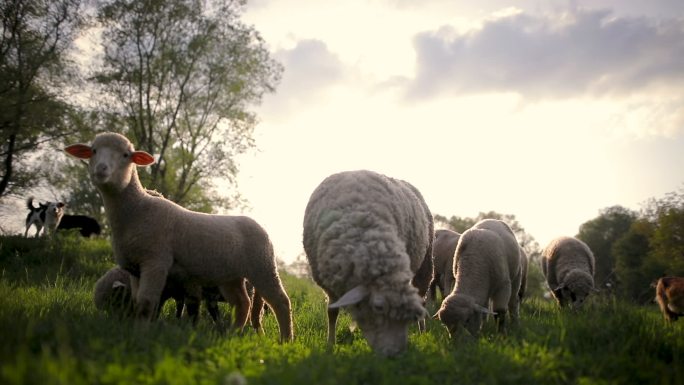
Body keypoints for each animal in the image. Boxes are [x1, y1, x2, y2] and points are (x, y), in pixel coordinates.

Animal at [67, 133, 294, 342]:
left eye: (126, 155)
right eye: (93, 151)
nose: (101, 170)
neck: (136, 209)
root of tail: (260, 226)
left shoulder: (156, 262)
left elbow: (146, 304)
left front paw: (140, 336)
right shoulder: (134, 269)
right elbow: (138, 302)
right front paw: (136, 332)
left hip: (263, 266)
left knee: (281, 302)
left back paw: (285, 341)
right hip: (231, 276)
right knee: (242, 303)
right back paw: (232, 333)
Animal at [300, 170, 430, 356]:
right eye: (378, 307)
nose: (394, 354)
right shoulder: (328, 282)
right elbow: (332, 312)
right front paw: (330, 345)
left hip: (425, 265)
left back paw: (422, 332)